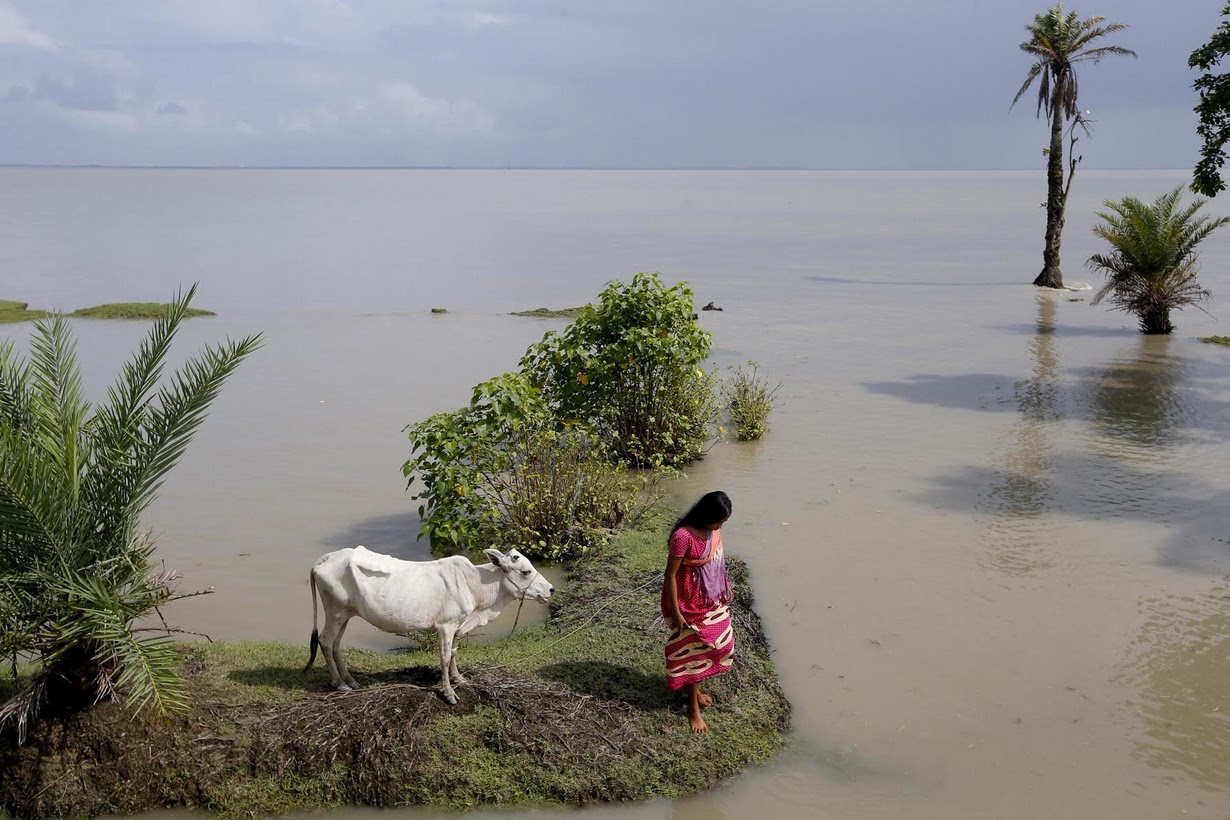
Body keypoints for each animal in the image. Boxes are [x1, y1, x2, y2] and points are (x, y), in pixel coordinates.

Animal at [302, 548, 553, 703]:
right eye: (526, 571)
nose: (551, 589)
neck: (474, 584)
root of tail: (325, 559)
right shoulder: (446, 626)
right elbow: (444, 658)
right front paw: (449, 693)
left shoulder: (458, 626)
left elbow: (454, 652)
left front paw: (459, 679)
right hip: (335, 612)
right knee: (325, 641)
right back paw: (339, 684)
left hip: (345, 614)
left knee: (335, 644)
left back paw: (351, 681)